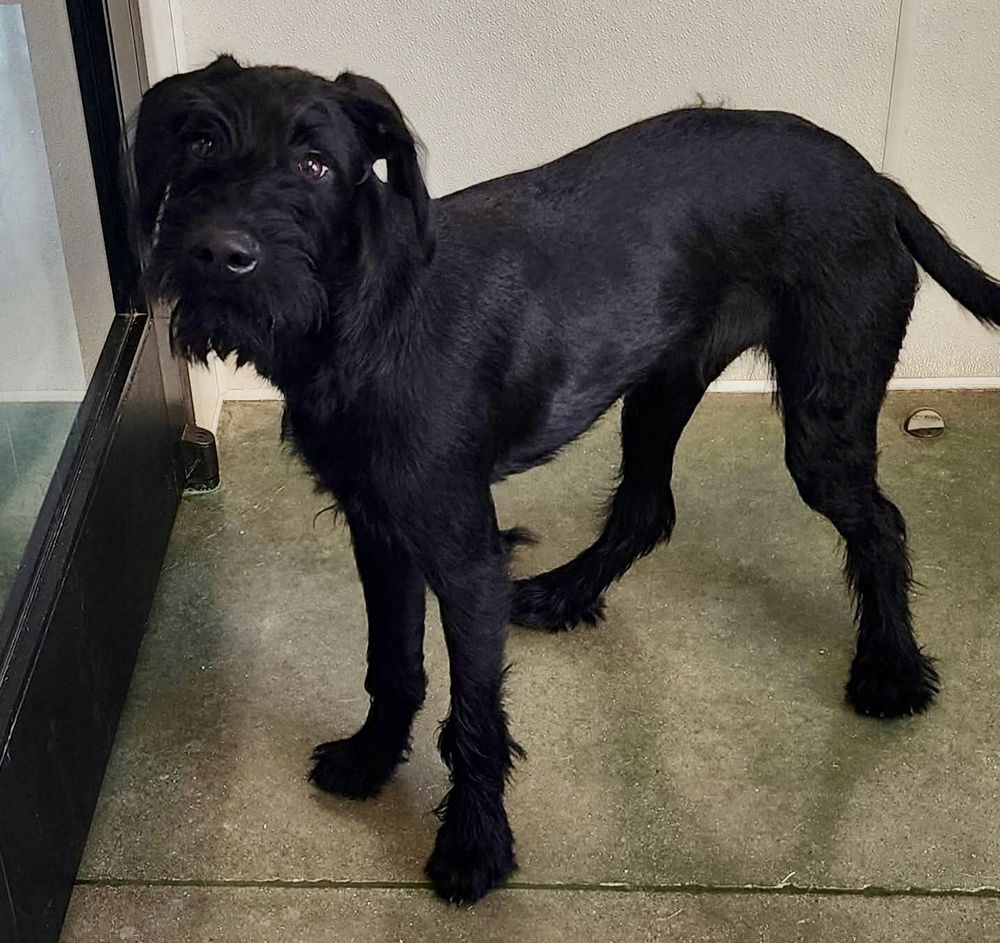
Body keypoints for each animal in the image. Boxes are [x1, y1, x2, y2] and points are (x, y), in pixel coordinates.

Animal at [130, 55, 1000, 905]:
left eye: (314, 164)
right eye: (200, 145)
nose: (221, 254)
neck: (364, 317)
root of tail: (876, 182)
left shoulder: (465, 557)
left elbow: (474, 718)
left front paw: (475, 844)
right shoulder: (380, 529)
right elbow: (393, 663)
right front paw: (373, 757)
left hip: (821, 420)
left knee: (880, 522)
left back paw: (891, 666)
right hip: (662, 386)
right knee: (648, 508)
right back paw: (565, 593)